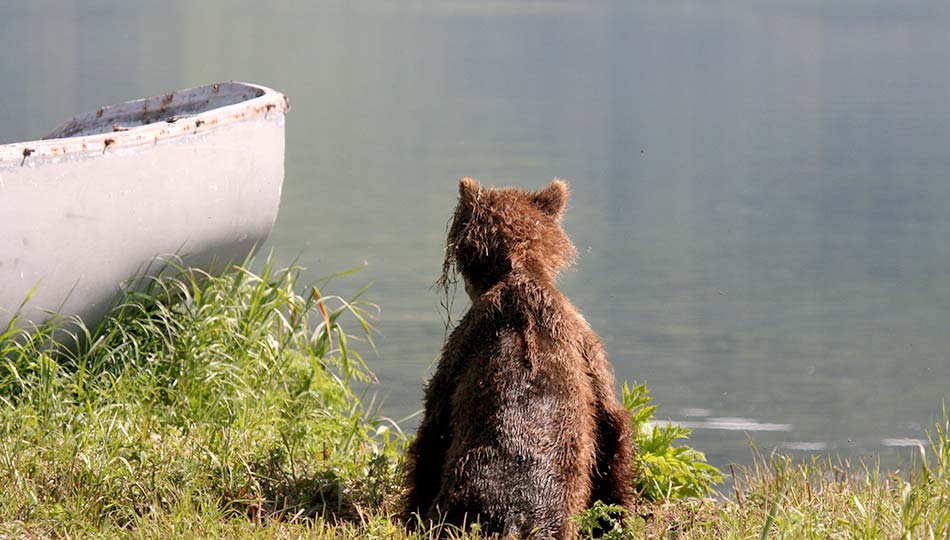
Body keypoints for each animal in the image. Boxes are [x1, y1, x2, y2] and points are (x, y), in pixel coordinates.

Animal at [403, 177, 634, 539]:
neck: (519, 273)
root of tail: (513, 514)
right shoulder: (582, 343)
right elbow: (612, 426)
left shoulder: (466, 341)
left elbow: (433, 427)